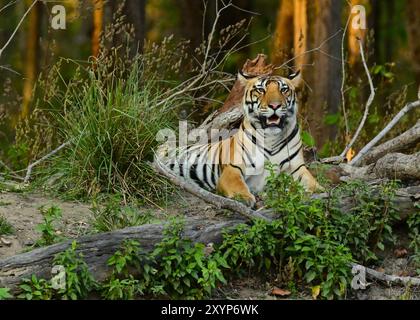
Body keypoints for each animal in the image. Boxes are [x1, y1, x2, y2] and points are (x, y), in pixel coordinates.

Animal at [156, 70, 324, 208]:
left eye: (284, 90)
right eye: (261, 90)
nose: (275, 105)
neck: (271, 137)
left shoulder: (296, 167)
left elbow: (309, 180)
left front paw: (320, 190)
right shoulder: (233, 168)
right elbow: (237, 184)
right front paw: (244, 198)